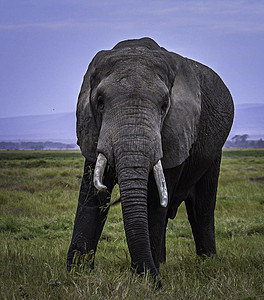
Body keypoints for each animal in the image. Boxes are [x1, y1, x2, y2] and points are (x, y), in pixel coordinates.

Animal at [67, 37, 234, 288]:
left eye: (165, 106)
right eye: (100, 102)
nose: (158, 284)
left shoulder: (176, 131)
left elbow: (155, 199)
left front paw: (145, 279)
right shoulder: (93, 129)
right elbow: (91, 194)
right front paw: (74, 273)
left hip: (213, 152)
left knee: (202, 207)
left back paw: (205, 261)